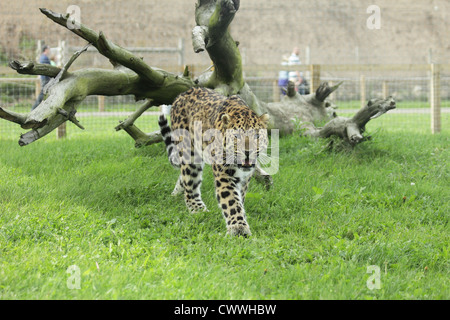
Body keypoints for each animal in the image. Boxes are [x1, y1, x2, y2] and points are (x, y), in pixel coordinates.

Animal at [158, 86, 268, 236]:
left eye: (257, 136)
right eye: (236, 136)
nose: (247, 152)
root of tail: (184, 93)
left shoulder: (245, 178)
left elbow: (240, 197)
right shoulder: (224, 175)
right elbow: (231, 201)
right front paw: (238, 227)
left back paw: (176, 193)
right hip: (189, 151)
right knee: (189, 182)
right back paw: (198, 209)